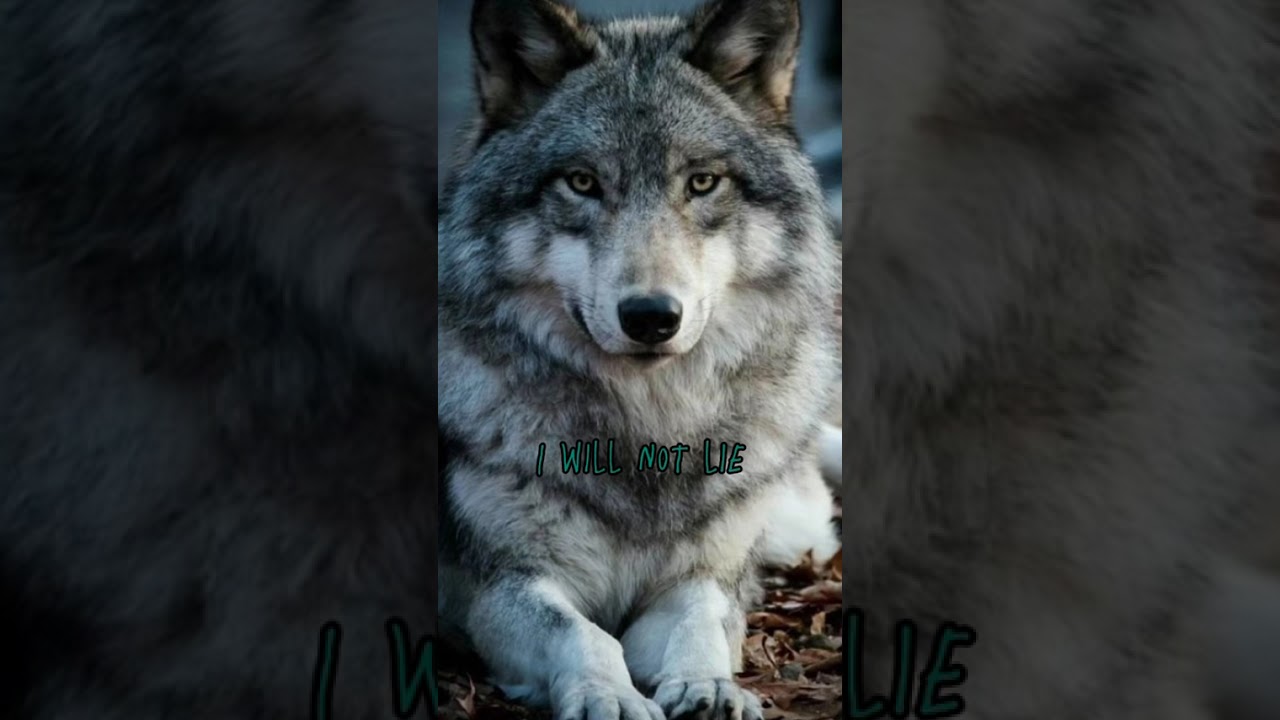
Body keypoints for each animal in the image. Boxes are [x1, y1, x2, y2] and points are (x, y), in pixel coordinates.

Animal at [437, 0, 841, 718]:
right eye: (582, 182)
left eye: (702, 182)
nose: (652, 315)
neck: (649, 431)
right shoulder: (497, 585)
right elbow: (583, 633)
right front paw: (612, 696)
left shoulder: (704, 577)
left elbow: (700, 622)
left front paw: (711, 687)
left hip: (799, 527)